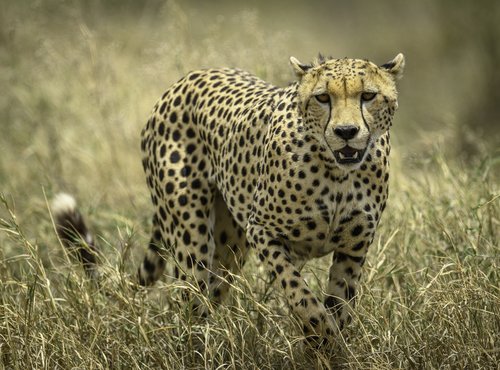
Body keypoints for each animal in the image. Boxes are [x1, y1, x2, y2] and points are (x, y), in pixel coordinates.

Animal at [53, 52, 402, 342]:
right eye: (323, 98)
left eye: (368, 96)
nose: (346, 132)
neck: (337, 173)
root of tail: (186, 79)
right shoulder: (263, 230)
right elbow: (299, 293)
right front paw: (323, 336)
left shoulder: (353, 248)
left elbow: (340, 304)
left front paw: (331, 347)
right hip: (192, 241)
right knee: (187, 304)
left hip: (228, 247)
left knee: (209, 296)